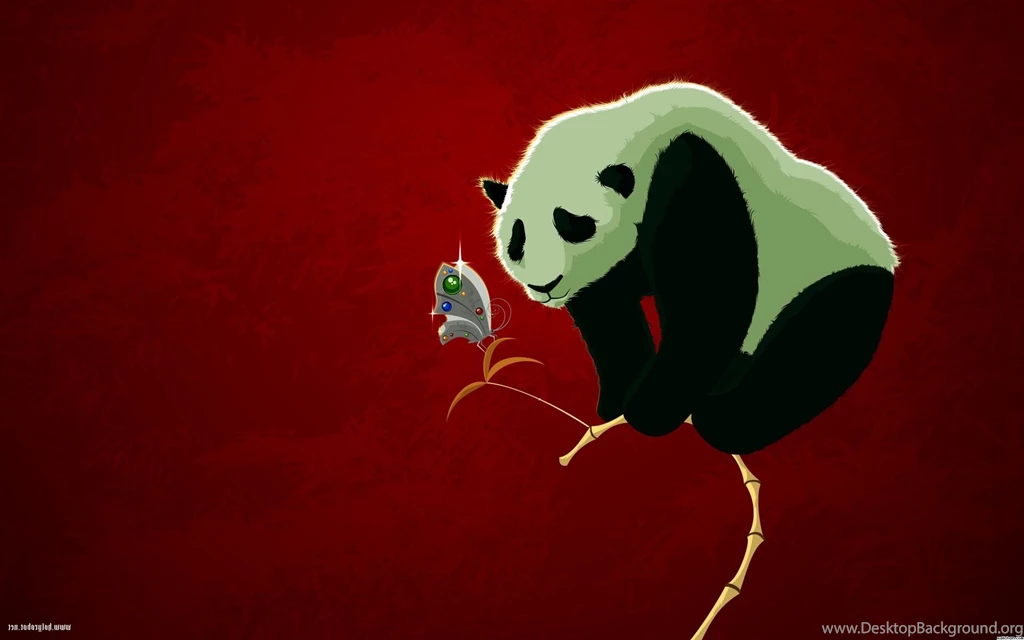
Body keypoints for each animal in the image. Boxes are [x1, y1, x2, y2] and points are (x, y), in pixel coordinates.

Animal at [478, 82, 898, 455]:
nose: (546, 285)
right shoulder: (610, 266)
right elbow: (608, 312)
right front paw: (618, 396)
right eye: (517, 239)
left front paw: (649, 411)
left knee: (805, 355)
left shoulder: (693, 174)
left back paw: (723, 415)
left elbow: (707, 304)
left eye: (574, 225)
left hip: (832, 277)